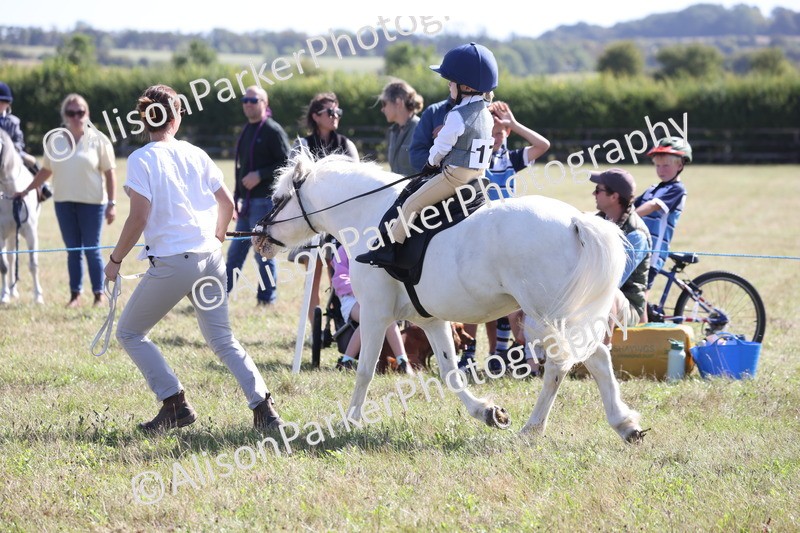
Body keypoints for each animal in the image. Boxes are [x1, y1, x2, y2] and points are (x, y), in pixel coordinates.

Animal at [251, 150, 645, 442]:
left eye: (277, 198)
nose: (258, 236)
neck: (367, 214)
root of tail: (576, 221)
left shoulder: (376, 314)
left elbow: (364, 370)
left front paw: (349, 421)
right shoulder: (430, 320)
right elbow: (450, 373)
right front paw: (488, 413)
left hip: (544, 316)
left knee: (562, 366)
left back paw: (532, 431)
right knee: (598, 358)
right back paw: (625, 425)